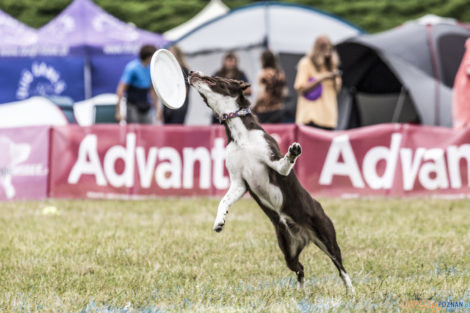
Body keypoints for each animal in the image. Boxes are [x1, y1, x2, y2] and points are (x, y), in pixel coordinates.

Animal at [189, 71, 354, 292]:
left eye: (215, 77)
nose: (190, 72)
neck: (240, 134)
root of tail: (305, 235)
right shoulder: (239, 182)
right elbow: (223, 201)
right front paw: (219, 221)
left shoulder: (274, 164)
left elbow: (285, 163)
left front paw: (292, 152)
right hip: (287, 248)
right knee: (300, 268)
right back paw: (301, 291)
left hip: (326, 236)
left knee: (340, 266)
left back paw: (350, 290)